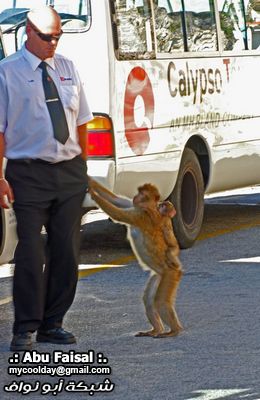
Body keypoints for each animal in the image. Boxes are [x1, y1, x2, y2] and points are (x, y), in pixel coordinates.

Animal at [88, 178, 182, 338]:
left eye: (142, 194)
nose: (135, 197)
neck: (149, 208)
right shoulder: (136, 208)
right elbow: (115, 199)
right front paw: (89, 181)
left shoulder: (140, 215)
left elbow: (118, 214)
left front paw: (93, 195)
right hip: (159, 276)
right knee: (149, 301)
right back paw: (156, 330)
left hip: (170, 274)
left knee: (160, 302)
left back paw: (175, 330)